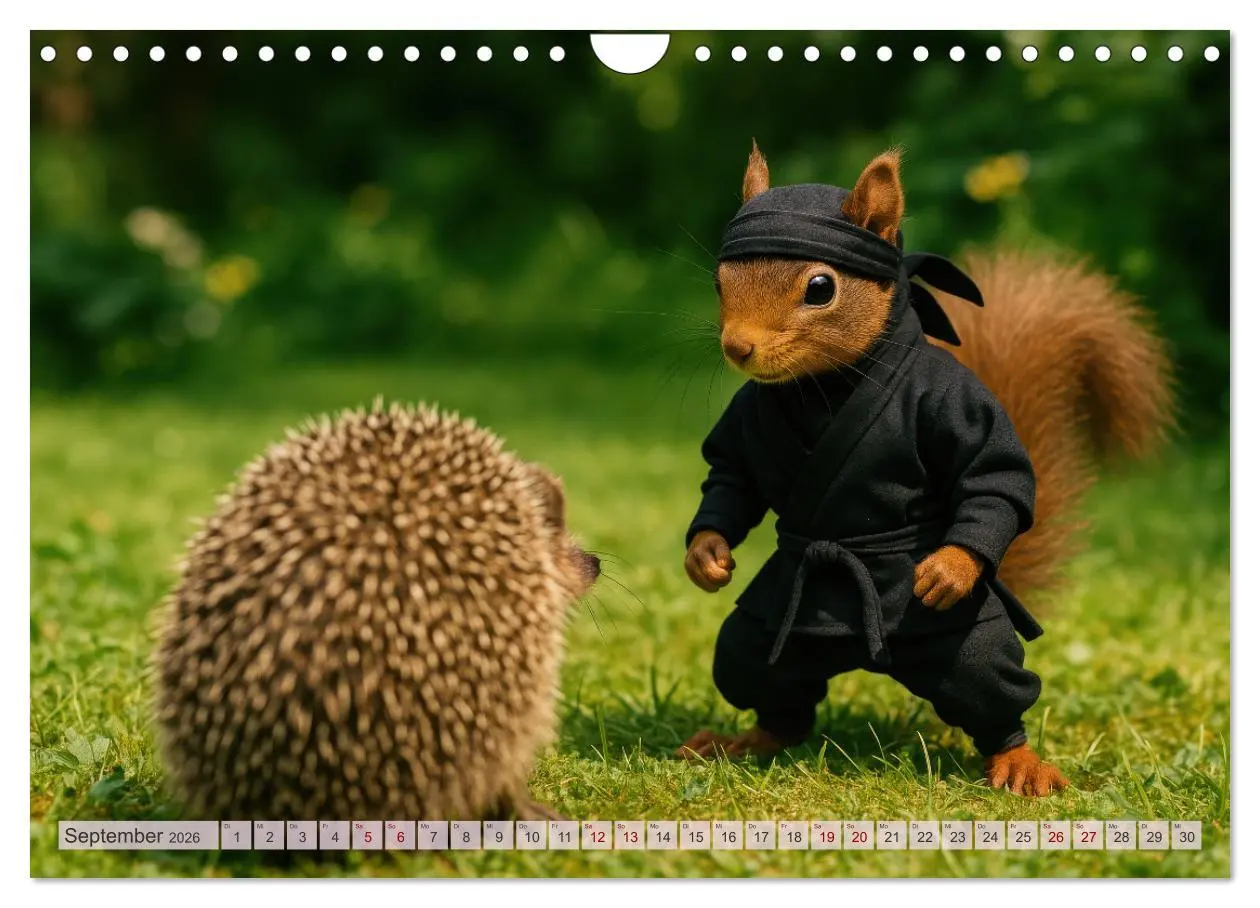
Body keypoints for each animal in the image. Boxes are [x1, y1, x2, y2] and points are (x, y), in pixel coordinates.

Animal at [677, 143, 1173, 797]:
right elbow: (732, 477)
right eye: (718, 281)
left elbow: (991, 478)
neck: (826, 385)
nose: (738, 347)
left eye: (820, 287)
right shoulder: (747, 422)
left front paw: (947, 569)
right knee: (762, 677)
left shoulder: (953, 402)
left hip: (963, 641)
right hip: (772, 637)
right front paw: (706, 555)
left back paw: (1017, 760)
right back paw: (749, 739)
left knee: (985, 680)